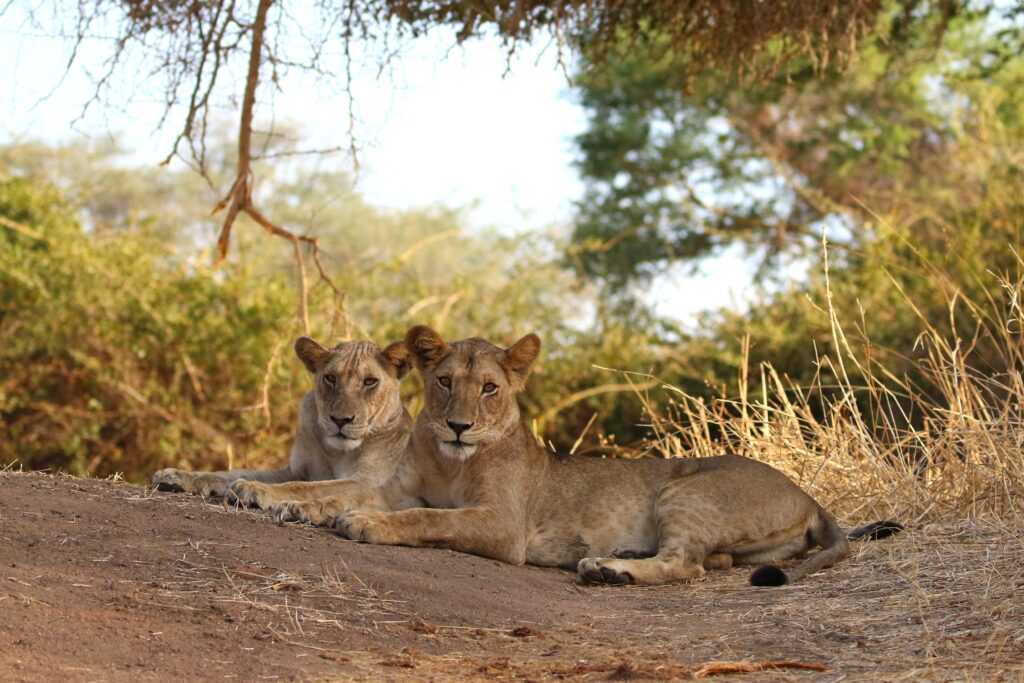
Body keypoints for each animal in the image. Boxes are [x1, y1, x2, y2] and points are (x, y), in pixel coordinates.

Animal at [149, 335, 411, 507]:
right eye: (330, 378)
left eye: (370, 382)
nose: (340, 420)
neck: (337, 452)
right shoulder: (296, 470)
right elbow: (235, 473)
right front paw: (176, 476)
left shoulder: (369, 481)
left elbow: (305, 488)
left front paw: (254, 489)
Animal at [307, 327, 901, 589]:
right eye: (445, 382)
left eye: (490, 389)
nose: (458, 426)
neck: (453, 461)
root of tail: (808, 495)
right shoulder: (395, 487)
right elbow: (339, 490)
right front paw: (302, 504)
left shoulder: (503, 526)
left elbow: (428, 519)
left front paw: (365, 525)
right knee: (709, 560)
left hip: (686, 489)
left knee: (685, 563)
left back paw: (610, 570)